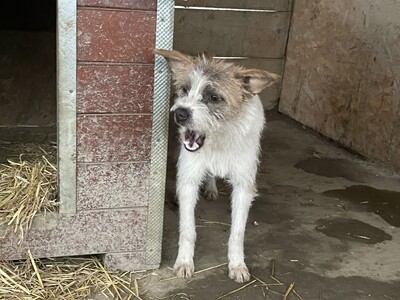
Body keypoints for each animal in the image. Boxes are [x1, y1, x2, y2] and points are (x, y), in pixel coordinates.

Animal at [155, 48, 280, 282]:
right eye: (185, 89)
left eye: (214, 97)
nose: (180, 113)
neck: (219, 139)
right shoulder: (189, 179)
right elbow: (188, 230)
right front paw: (184, 262)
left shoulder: (243, 187)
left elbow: (237, 233)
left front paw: (237, 265)